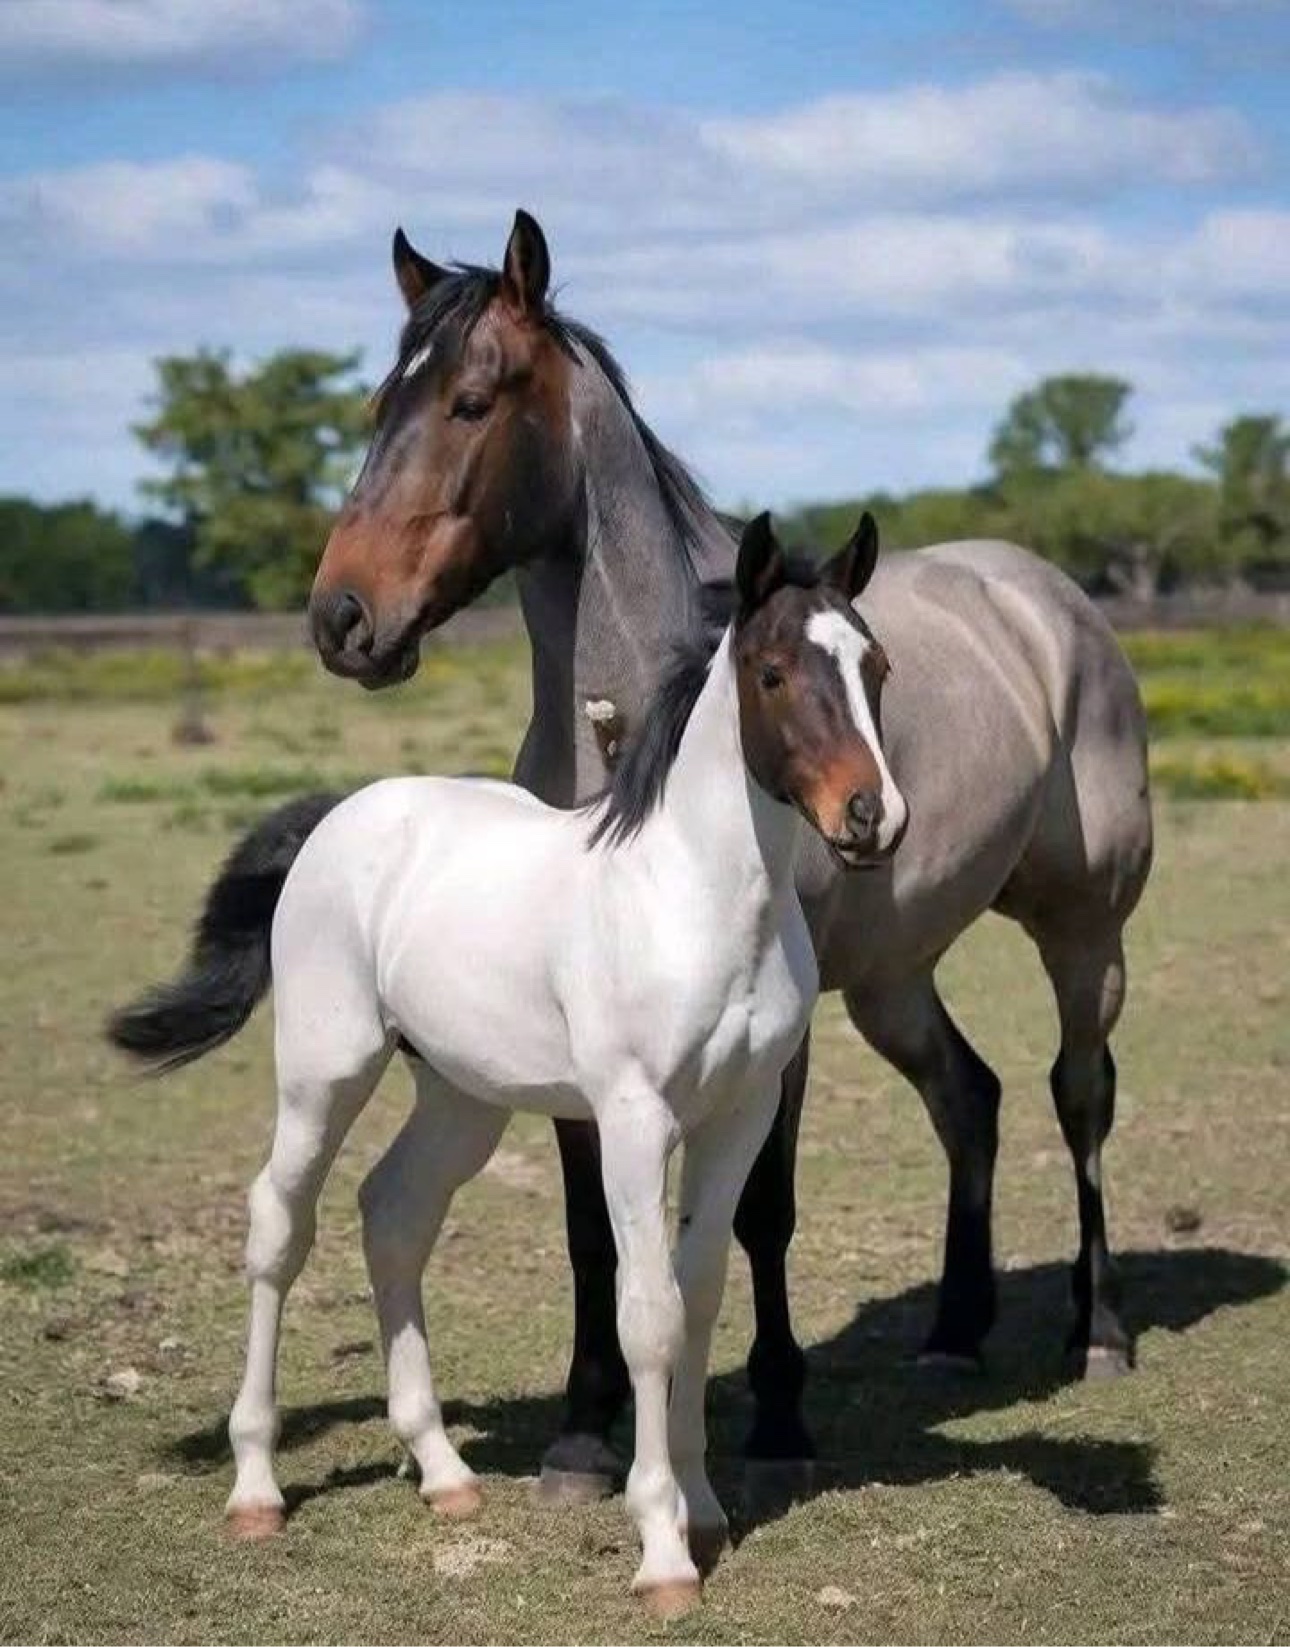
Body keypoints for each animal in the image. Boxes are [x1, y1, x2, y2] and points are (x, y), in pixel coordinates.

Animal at [109, 516, 903, 1615]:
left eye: (877, 666)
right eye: (775, 672)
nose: (872, 816)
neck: (693, 898)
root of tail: (337, 818)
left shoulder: (738, 1115)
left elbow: (700, 1295)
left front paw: (702, 1508)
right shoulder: (632, 1118)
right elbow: (649, 1314)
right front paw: (662, 1552)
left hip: (459, 1096)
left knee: (393, 1213)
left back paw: (444, 1472)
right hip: (324, 1068)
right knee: (280, 1223)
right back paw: (256, 1489)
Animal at [306, 208, 1153, 1502]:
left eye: (472, 400)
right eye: (374, 408)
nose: (342, 618)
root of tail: (1050, 599)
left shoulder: (779, 1033)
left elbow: (763, 1212)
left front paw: (779, 1411)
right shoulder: (581, 1023)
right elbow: (590, 1231)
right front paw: (584, 1430)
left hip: (1082, 929)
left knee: (1080, 1092)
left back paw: (1096, 1329)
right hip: (896, 975)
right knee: (971, 1098)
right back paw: (953, 1333)